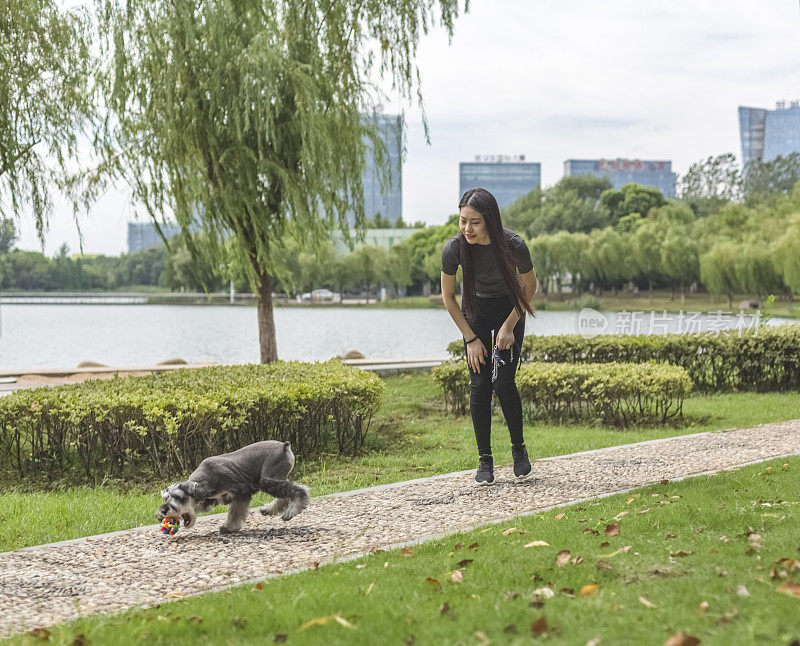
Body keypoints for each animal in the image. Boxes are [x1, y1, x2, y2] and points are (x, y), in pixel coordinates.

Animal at [155, 440, 310, 536]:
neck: (206, 478)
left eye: (178, 497)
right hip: (274, 479)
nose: (163, 510)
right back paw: (268, 510)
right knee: (285, 495)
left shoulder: (242, 492)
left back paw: (291, 511)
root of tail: (284, 446)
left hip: (268, 480)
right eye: (166, 498)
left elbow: (236, 512)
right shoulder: (209, 499)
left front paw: (229, 527)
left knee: (299, 490)